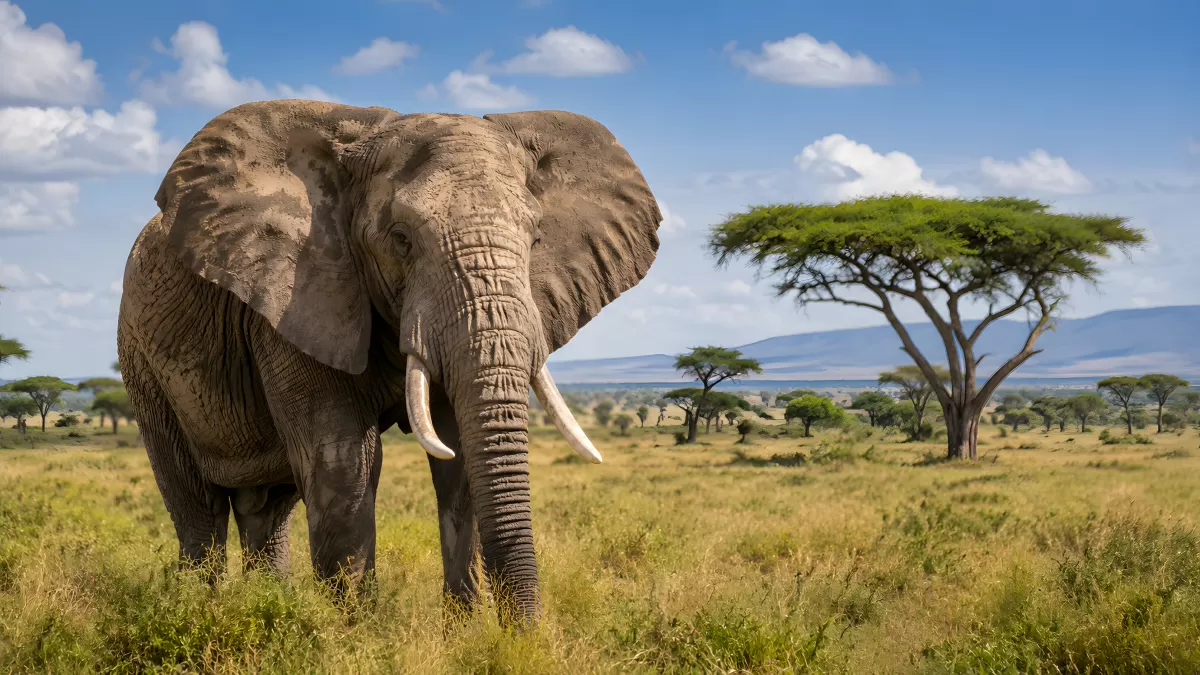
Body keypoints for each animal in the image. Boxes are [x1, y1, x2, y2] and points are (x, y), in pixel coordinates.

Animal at [116, 100, 661, 625]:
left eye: (535, 239)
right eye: (401, 238)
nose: (528, 636)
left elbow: (458, 459)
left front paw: (465, 635)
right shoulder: (295, 296)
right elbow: (344, 461)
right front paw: (356, 635)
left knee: (267, 510)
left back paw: (263, 603)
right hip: (141, 360)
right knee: (198, 508)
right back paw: (196, 610)